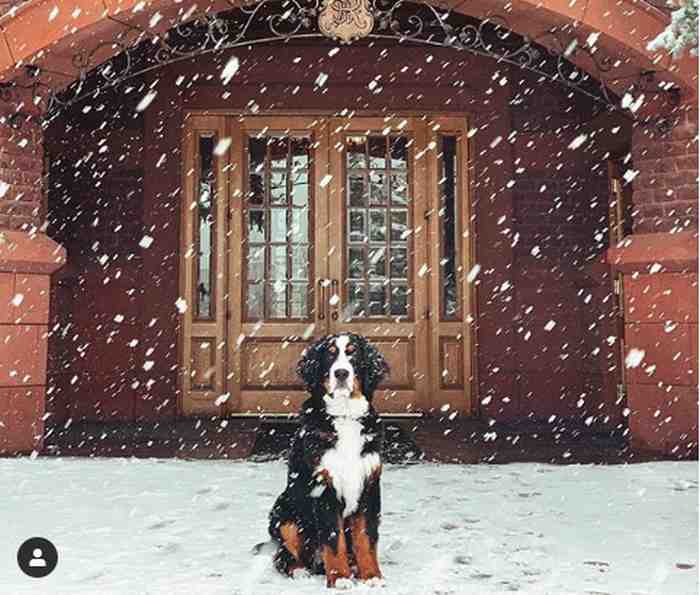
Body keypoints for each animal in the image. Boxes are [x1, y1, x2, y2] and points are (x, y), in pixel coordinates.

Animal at [266, 332, 392, 588]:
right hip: (284, 515)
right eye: (330, 354)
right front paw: (340, 578)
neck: (345, 416)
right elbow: (333, 539)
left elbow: (366, 537)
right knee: (284, 556)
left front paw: (371, 576)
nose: (341, 373)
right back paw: (300, 570)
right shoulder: (324, 487)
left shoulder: (369, 486)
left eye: (353, 353)